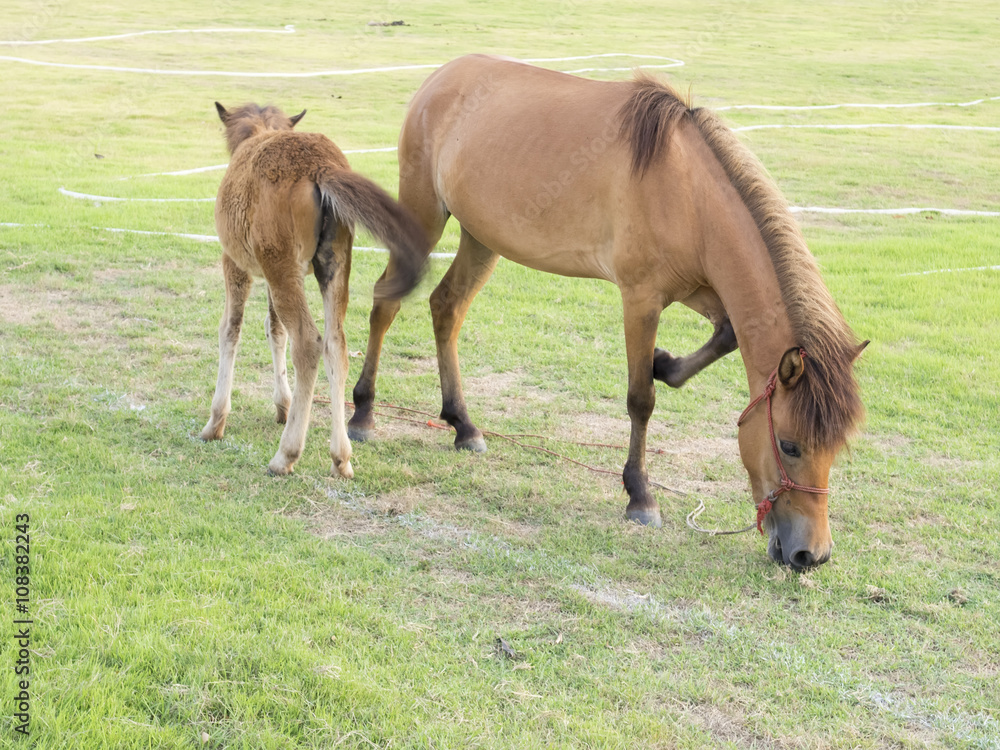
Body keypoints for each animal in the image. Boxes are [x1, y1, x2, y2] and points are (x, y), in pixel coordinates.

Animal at [201, 102, 427, 478]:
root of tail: (321, 167)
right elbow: (274, 329)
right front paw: (283, 405)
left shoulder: (235, 264)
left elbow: (230, 330)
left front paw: (216, 422)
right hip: (330, 266)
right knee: (335, 345)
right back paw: (341, 457)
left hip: (281, 267)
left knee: (308, 343)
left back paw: (286, 455)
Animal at [347, 55, 867, 569]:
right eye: (790, 446)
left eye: (836, 449)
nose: (811, 554)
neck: (687, 190)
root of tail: (442, 75)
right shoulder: (641, 298)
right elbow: (641, 400)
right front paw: (640, 495)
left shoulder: (696, 288)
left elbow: (726, 335)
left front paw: (664, 363)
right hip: (425, 214)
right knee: (386, 302)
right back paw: (363, 414)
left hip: (481, 238)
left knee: (446, 308)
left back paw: (462, 424)